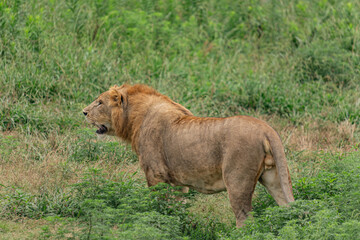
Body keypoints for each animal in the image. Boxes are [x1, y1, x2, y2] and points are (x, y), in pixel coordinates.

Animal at [83, 84, 294, 227]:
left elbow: (158, 207)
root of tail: (266, 129)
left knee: (245, 217)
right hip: (273, 177)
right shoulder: (177, 183)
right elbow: (176, 210)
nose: (83, 112)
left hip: (237, 181)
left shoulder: (155, 175)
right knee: (287, 207)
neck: (134, 119)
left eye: (99, 102)